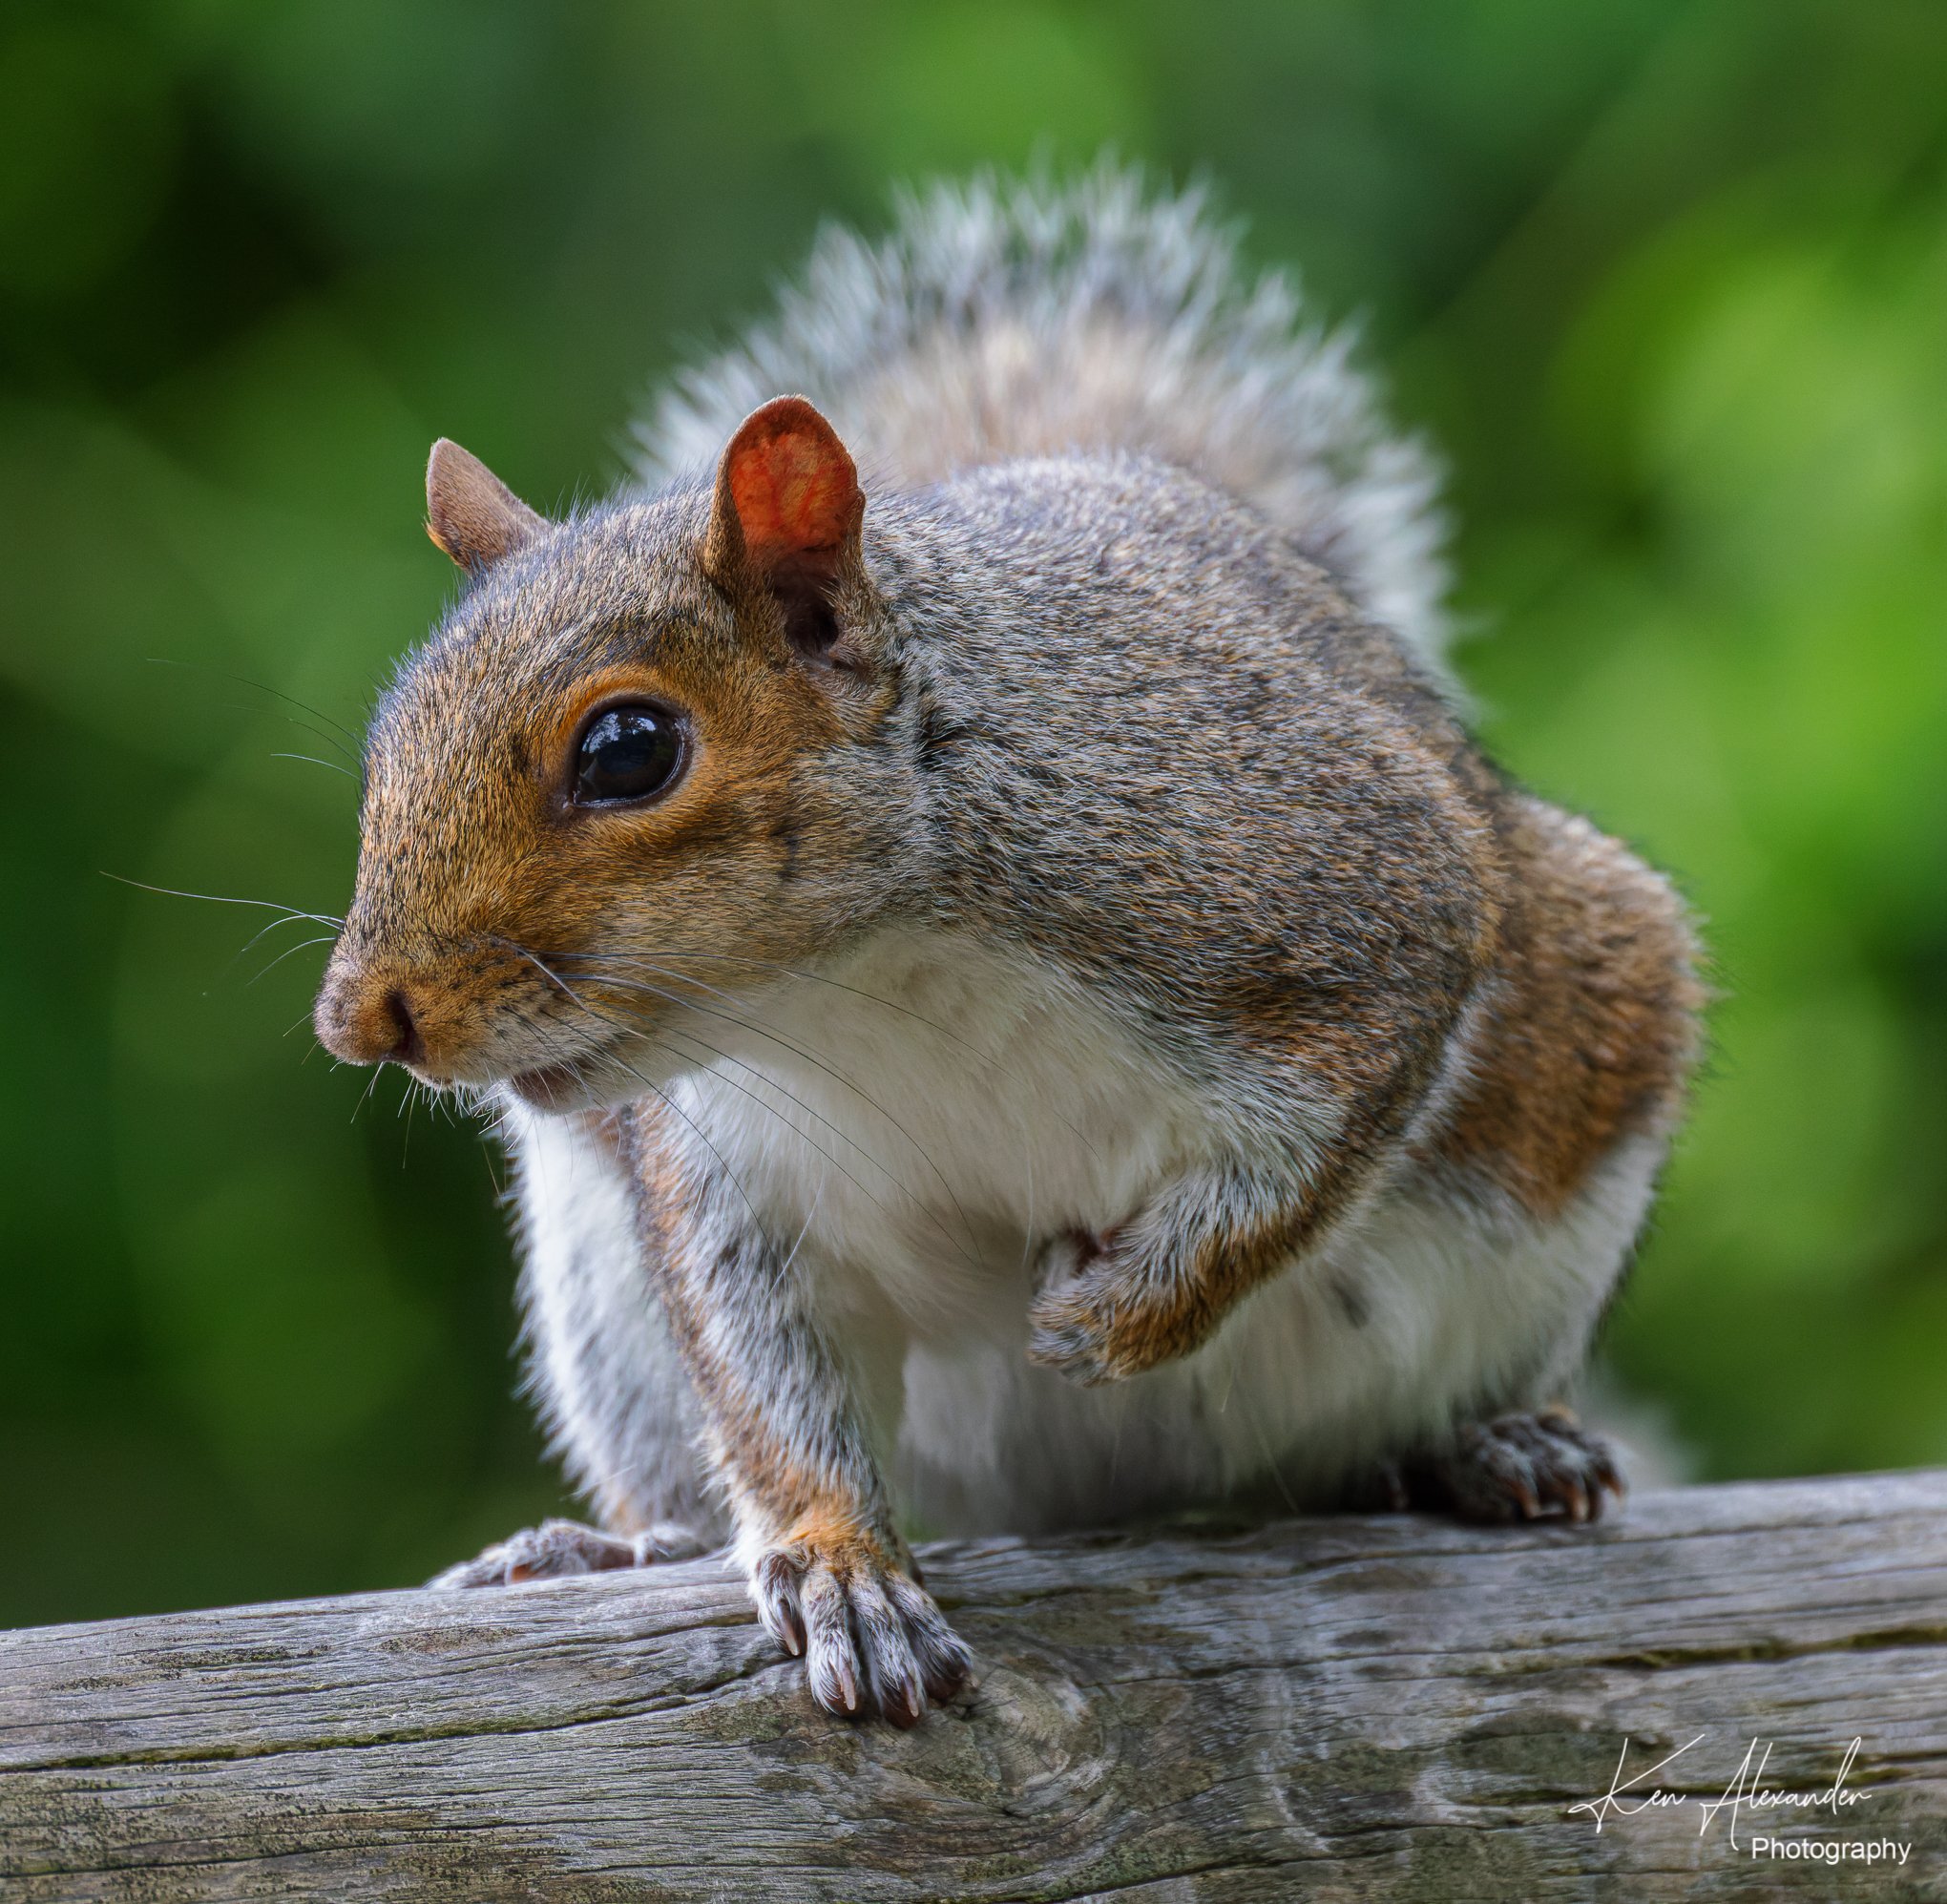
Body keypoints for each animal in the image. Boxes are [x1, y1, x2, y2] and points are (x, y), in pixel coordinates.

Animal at [307, 170, 1706, 1728]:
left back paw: (1490, 1445)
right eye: (390, 732)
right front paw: (843, 1569)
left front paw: (1119, 1318)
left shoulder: (1357, 900)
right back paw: (619, 1543)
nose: (360, 1018)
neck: (862, 984)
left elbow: (1317, 1146)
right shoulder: (727, 1167)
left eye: (628, 748)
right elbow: (766, 1379)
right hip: (601, 1281)